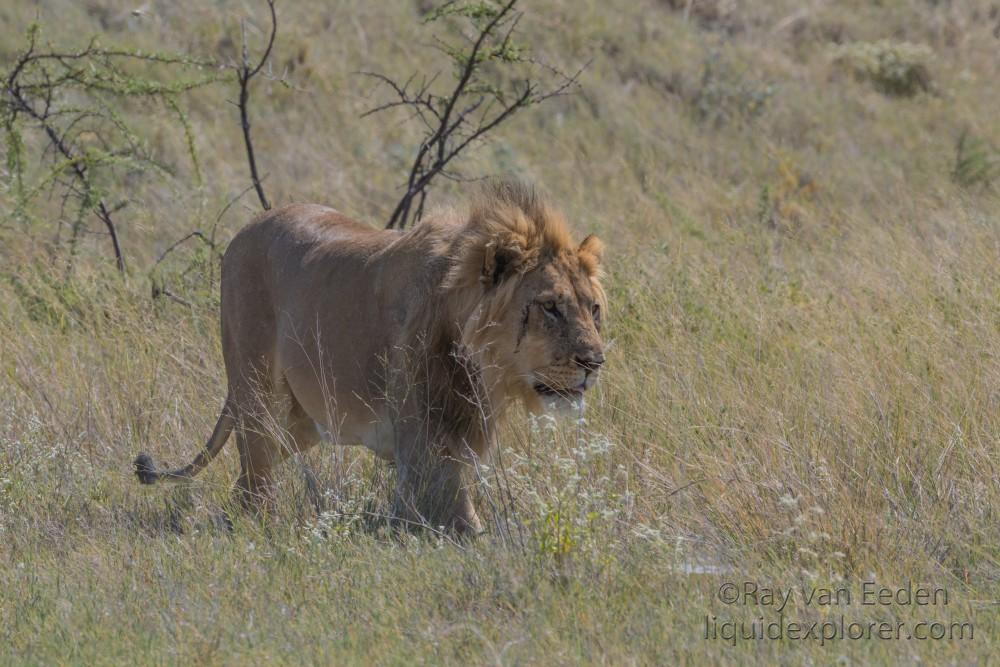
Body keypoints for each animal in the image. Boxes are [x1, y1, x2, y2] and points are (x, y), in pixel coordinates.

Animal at [136, 180, 604, 536]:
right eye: (550, 307)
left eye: (593, 309)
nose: (594, 362)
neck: (481, 367)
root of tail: (244, 230)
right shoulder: (425, 437)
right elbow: (457, 516)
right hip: (256, 390)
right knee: (255, 473)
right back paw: (262, 527)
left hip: (300, 419)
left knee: (250, 473)